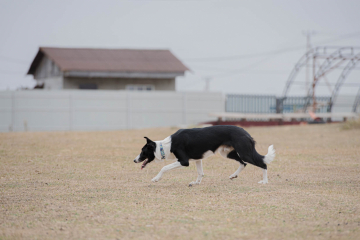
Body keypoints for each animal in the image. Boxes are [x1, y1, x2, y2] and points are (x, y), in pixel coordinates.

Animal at [134, 125, 274, 186]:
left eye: (143, 151)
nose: (134, 160)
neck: (165, 146)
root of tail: (246, 132)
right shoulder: (197, 159)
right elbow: (200, 173)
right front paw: (196, 183)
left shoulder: (184, 161)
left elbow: (164, 167)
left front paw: (156, 178)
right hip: (227, 153)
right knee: (243, 163)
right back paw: (234, 175)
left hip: (244, 152)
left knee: (263, 163)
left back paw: (265, 181)